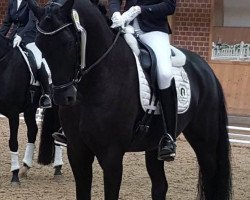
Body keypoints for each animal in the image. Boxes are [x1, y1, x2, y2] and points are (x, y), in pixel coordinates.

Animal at [0, 32, 62, 184]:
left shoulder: (13, 113)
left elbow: (13, 142)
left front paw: (14, 175)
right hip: (30, 109)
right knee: (33, 131)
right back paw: (25, 167)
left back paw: (58, 169)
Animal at [28, 0, 232, 199]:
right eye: (40, 46)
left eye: (69, 43)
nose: (63, 96)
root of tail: (205, 68)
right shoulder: (77, 151)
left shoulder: (111, 155)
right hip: (154, 144)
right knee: (160, 186)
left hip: (205, 141)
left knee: (211, 180)